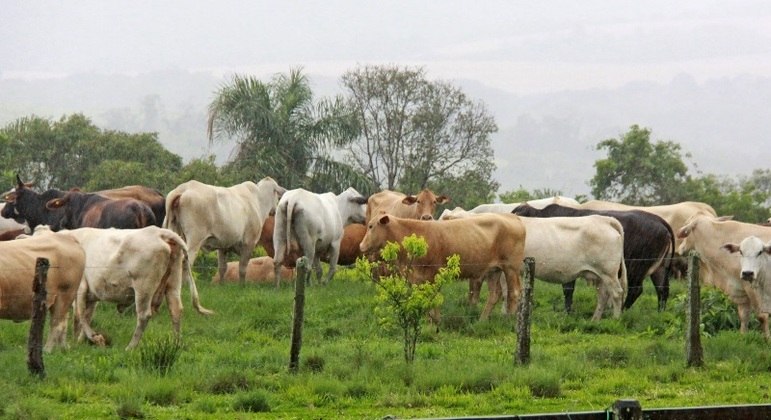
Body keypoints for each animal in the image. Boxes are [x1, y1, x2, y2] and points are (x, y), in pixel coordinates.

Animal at [36, 226, 214, 352]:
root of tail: (160, 232)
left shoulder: (80, 288)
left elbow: (79, 316)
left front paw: (94, 338)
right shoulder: (91, 295)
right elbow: (84, 316)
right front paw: (79, 341)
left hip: (144, 288)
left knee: (144, 315)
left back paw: (131, 347)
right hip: (173, 284)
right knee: (176, 311)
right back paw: (176, 344)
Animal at [358, 215, 528, 320]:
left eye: (371, 226)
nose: (361, 246)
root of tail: (512, 217)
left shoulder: (433, 273)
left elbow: (434, 299)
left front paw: (436, 322)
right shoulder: (418, 277)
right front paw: (429, 321)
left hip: (511, 268)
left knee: (514, 292)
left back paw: (509, 318)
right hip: (493, 270)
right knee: (494, 294)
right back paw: (482, 320)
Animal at [440, 208, 628, 320]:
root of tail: (604, 219)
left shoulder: (508, 269)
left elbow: (507, 292)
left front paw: (505, 315)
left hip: (608, 273)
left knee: (617, 293)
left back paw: (615, 319)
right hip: (599, 275)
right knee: (603, 295)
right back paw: (595, 320)